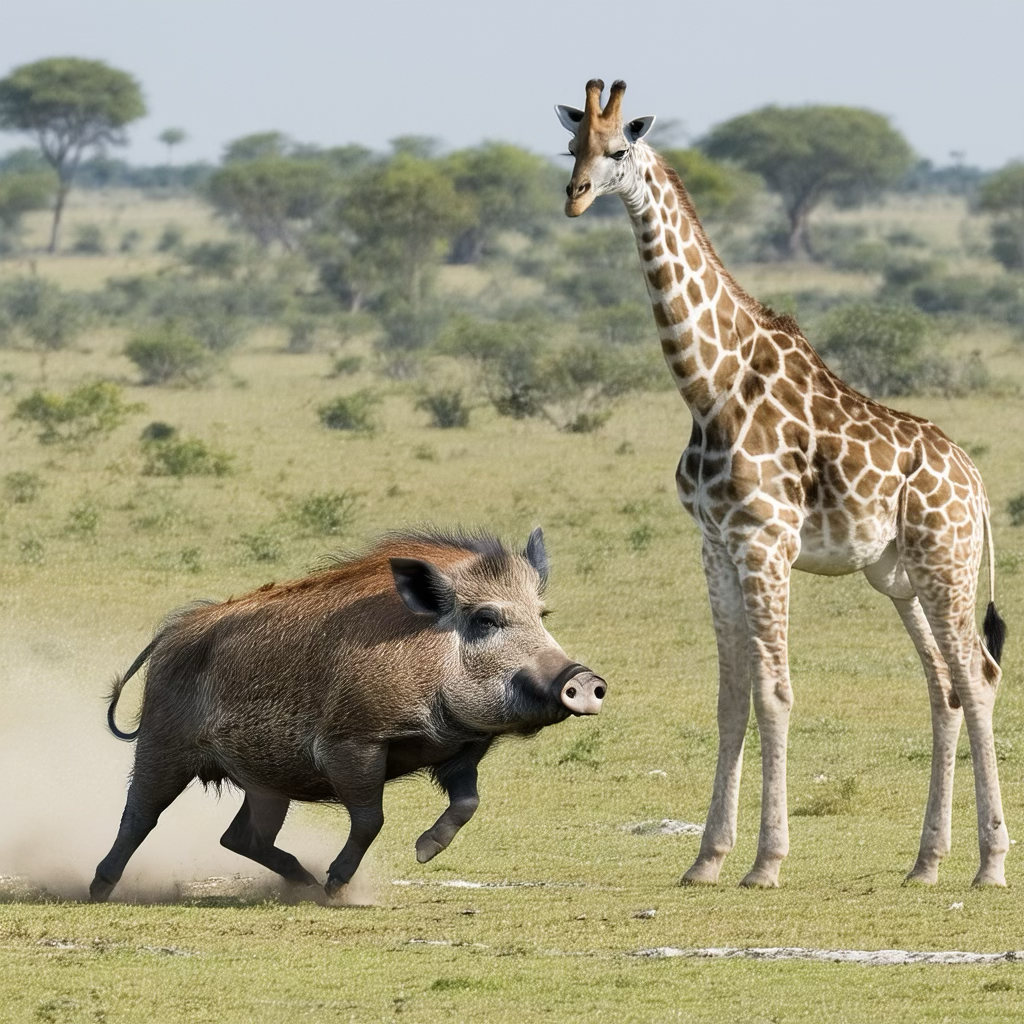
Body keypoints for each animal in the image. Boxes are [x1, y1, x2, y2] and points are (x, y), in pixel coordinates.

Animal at [89, 527, 606, 902]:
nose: (584, 679)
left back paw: (302, 881)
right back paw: (98, 889)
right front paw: (337, 886)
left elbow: (467, 801)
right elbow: (371, 818)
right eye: (486, 618)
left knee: (239, 838)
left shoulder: (461, 750)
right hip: (163, 746)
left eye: (542, 614)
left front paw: (422, 853)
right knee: (139, 816)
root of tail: (170, 635)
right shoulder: (352, 744)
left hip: (266, 781)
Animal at [555, 79, 1009, 888]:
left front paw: (766, 861)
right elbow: (731, 695)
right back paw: (926, 863)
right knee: (945, 686)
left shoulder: (765, 540)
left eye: (618, 151)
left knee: (978, 675)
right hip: (899, 577)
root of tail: (976, 480)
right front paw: (706, 857)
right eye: (570, 146)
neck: (706, 386)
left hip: (946, 561)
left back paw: (990, 865)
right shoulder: (714, 545)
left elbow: (774, 693)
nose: (574, 197)